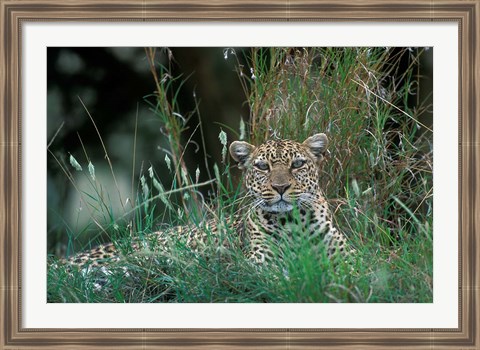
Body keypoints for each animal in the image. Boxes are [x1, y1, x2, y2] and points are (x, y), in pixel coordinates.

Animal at [57, 133, 352, 270]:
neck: (294, 222)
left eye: (298, 164)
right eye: (262, 167)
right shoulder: (258, 262)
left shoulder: (350, 257)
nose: (280, 187)